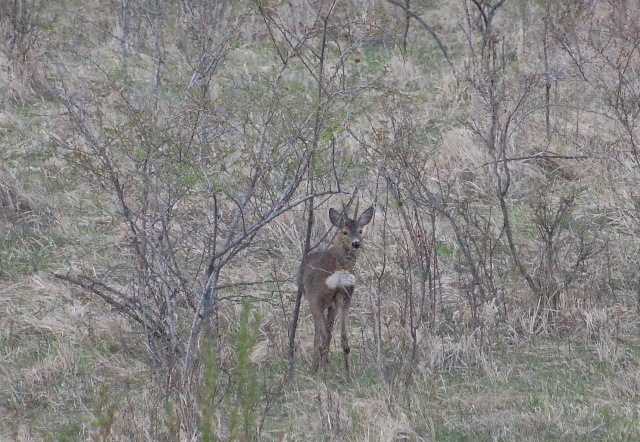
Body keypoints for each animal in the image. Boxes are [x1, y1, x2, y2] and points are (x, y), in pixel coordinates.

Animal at [302, 204, 372, 376]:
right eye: (345, 231)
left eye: (360, 230)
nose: (356, 243)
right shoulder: (330, 301)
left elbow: (324, 335)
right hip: (339, 296)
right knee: (338, 337)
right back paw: (341, 373)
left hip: (320, 299)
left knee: (323, 334)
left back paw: (320, 368)